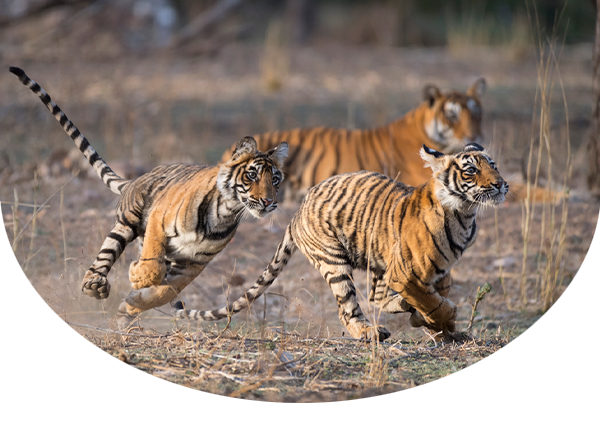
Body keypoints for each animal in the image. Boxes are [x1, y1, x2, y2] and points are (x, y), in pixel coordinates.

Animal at [9, 68, 288, 330]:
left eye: (275, 179)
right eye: (252, 175)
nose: (268, 202)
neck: (225, 212)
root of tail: (136, 179)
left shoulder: (194, 263)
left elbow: (165, 291)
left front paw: (132, 304)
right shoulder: (158, 221)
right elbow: (153, 266)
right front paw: (137, 275)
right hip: (126, 224)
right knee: (104, 257)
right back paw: (94, 284)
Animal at [177, 143, 506, 340]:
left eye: (494, 165)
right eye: (471, 170)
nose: (501, 184)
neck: (464, 214)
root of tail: (297, 212)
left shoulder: (436, 274)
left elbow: (435, 299)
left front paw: (441, 329)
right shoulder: (406, 275)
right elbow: (436, 304)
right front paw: (442, 323)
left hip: (376, 263)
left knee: (376, 298)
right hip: (334, 261)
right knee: (349, 307)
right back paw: (369, 332)